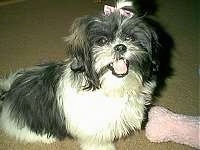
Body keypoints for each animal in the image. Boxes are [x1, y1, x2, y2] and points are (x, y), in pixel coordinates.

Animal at [0, 0, 159, 149]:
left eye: (130, 38)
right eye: (102, 41)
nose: (120, 47)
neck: (113, 86)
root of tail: (9, 91)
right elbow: (96, 140)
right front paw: (104, 147)